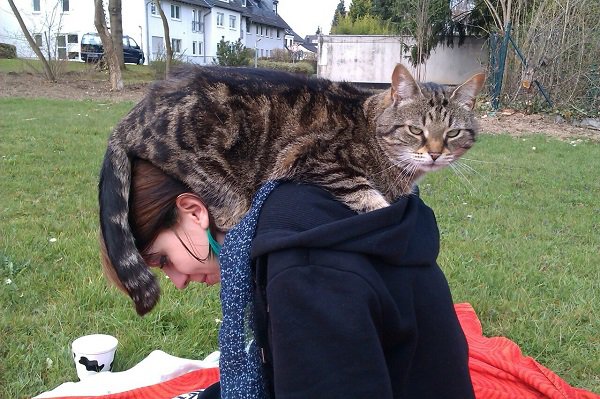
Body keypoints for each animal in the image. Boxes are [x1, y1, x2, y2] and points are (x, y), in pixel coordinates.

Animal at [98, 64, 482, 314]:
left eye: (452, 133)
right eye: (416, 130)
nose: (435, 153)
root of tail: (131, 115)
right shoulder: (318, 159)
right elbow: (369, 197)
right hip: (225, 190)